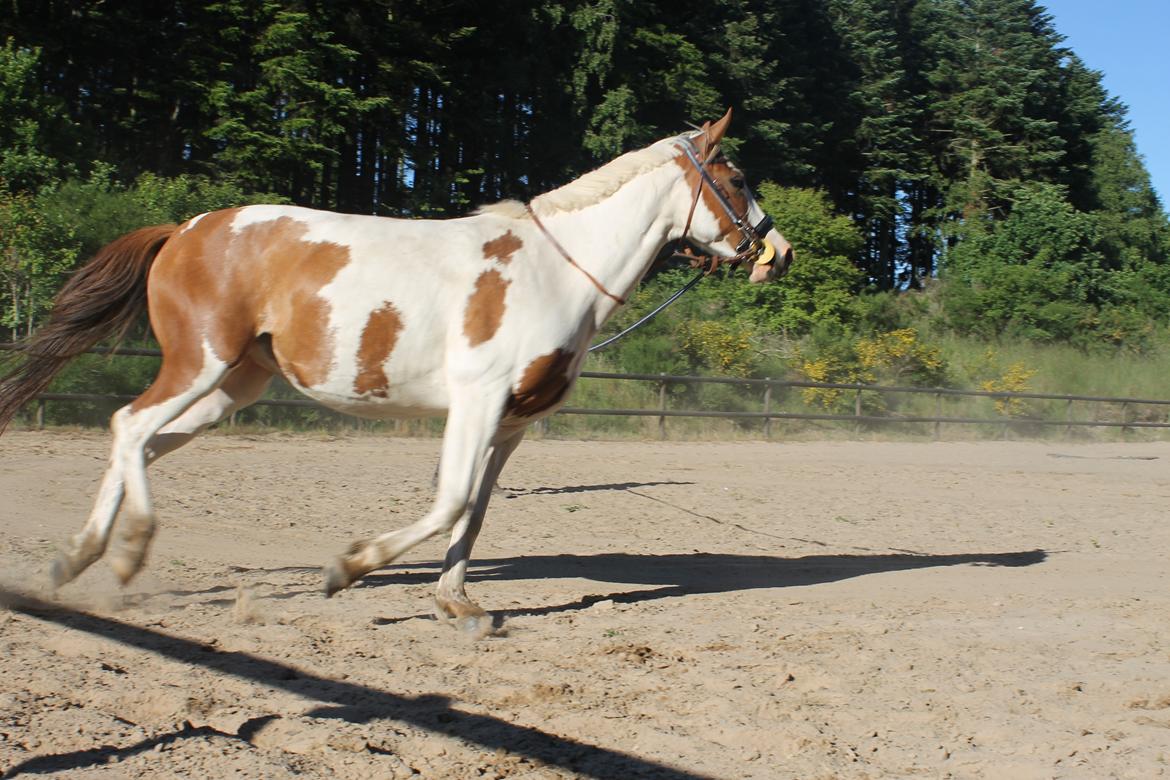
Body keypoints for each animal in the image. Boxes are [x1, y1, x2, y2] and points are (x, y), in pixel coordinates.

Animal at [0, 109, 795, 636]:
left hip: (231, 387)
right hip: (199, 365)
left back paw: (76, 561)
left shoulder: (511, 423)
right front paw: (347, 568)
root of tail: (183, 231)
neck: (556, 269)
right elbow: (449, 503)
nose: (777, 252)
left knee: (137, 440)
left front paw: (458, 604)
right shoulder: (476, 401)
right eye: (737, 177)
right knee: (129, 425)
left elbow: (475, 511)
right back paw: (127, 553)